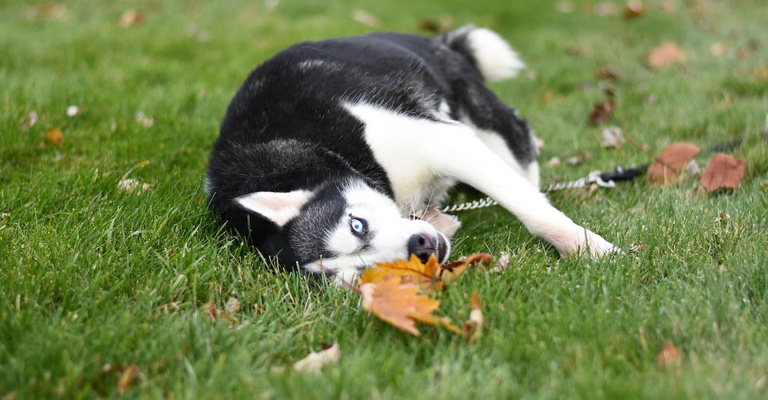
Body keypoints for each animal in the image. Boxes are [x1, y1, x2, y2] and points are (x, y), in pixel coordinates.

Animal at [204, 26, 616, 282]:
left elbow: (533, 212)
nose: (420, 247)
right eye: (364, 273)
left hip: (473, 108)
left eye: (357, 225)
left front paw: (588, 249)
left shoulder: (444, 140)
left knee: (518, 139)